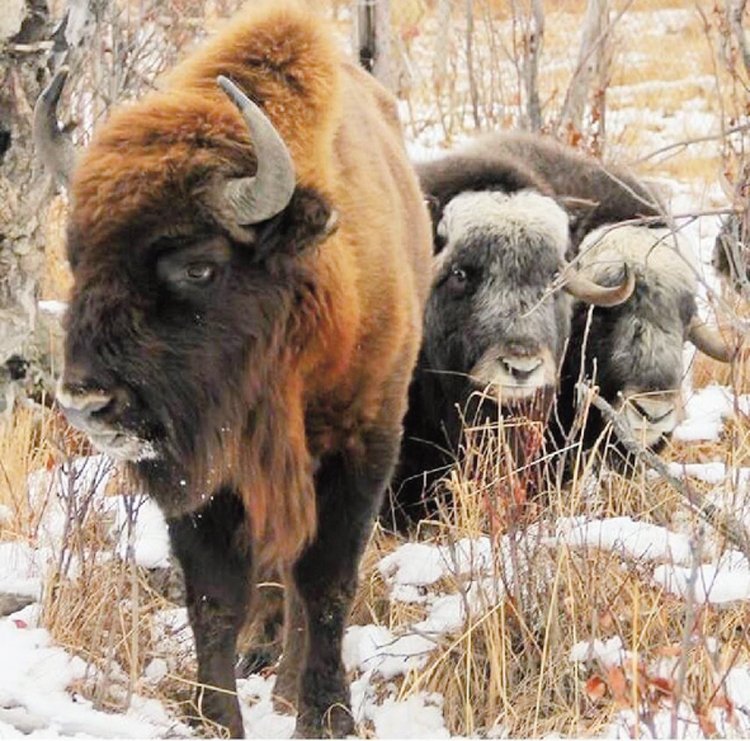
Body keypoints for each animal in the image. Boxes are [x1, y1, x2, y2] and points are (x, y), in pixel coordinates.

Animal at [35, 2, 432, 736]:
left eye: (199, 265)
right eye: (77, 257)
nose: (87, 402)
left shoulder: (364, 443)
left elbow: (326, 583)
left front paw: (324, 715)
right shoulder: (207, 472)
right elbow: (214, 596)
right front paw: (215, 717)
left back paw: (288, 683)